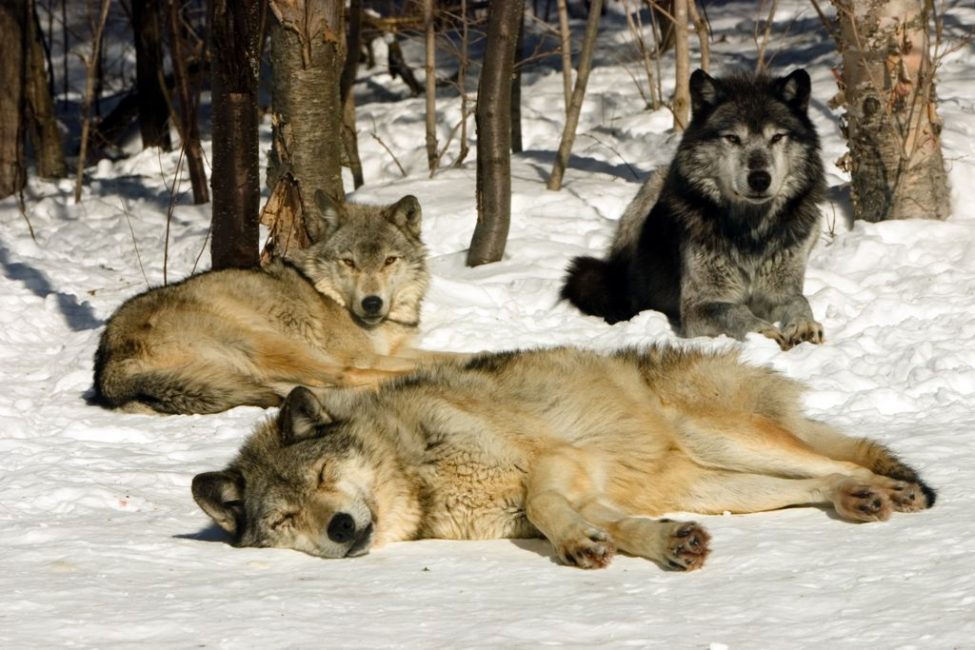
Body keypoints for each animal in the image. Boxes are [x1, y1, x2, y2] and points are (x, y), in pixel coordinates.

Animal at [95, 192, 454, 412]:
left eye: (389, 260)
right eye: (349, 262)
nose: (371, 303)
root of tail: (107, 368)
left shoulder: (393, 350)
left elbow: (446, 354)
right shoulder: (365, 356)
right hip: (271, 340)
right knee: (342, 376)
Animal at [193, 344, 936, 568]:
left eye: (324, 474)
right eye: (285, 518)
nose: (343, 528)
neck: (417, 469)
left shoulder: (556, 461)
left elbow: (546, 503)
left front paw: (579, 543)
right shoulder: (580, 492)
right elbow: (619, 526)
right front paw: (663, 544)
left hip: (726, 439)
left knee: (837, 460)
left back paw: (889, 491)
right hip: (713, 483)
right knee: (814, 482)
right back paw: (858, 499)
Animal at [560, 67, 828, 350]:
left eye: (776, 137)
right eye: (733, 138)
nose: (759, 179)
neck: (750, 232)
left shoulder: (781, 292)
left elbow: (800, 301)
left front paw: (804, 326)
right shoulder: (699, 306)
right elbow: (736, 312)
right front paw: (764, 332)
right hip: (653, 184)